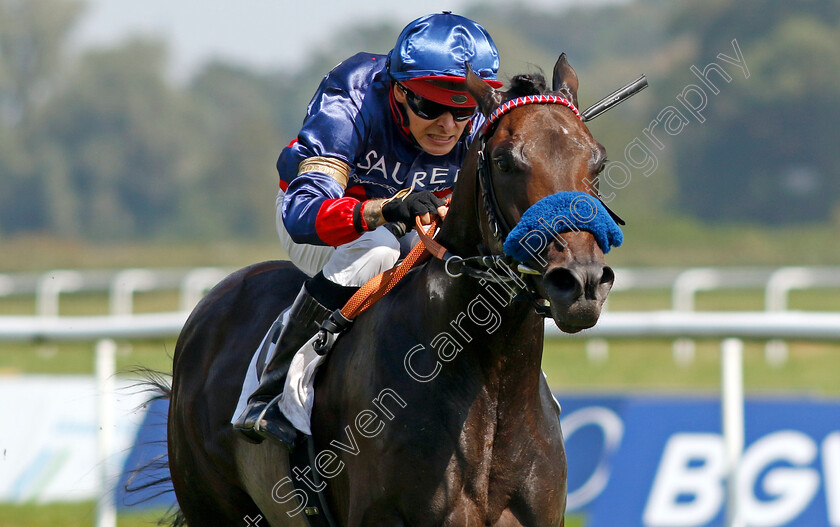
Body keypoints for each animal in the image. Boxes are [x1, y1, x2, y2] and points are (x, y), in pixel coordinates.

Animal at [166, 54, 616, 527]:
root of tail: (211, 303)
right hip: (212, 505)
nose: (581, 281)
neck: (492, 387)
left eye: (598, 161)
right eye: (504, 161)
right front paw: (406, 204)